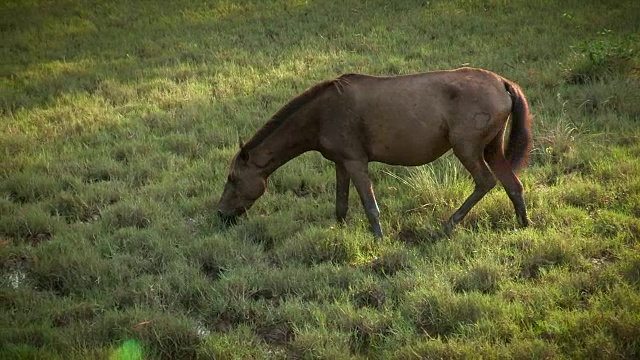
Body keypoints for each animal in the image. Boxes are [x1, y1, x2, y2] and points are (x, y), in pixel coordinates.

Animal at [218, 67, 532, 239]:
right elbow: (341, 205)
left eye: (233, 178)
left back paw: (447, 225)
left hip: (467, 149)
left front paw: (379, 240)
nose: (220, 214)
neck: (321, 113)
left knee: (486, 182)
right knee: (513, 185)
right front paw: (339, 232)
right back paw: (524, 224)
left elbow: (370, 206)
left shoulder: (356, 162)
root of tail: (502, 83)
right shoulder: (341, 164)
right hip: (492, 149)